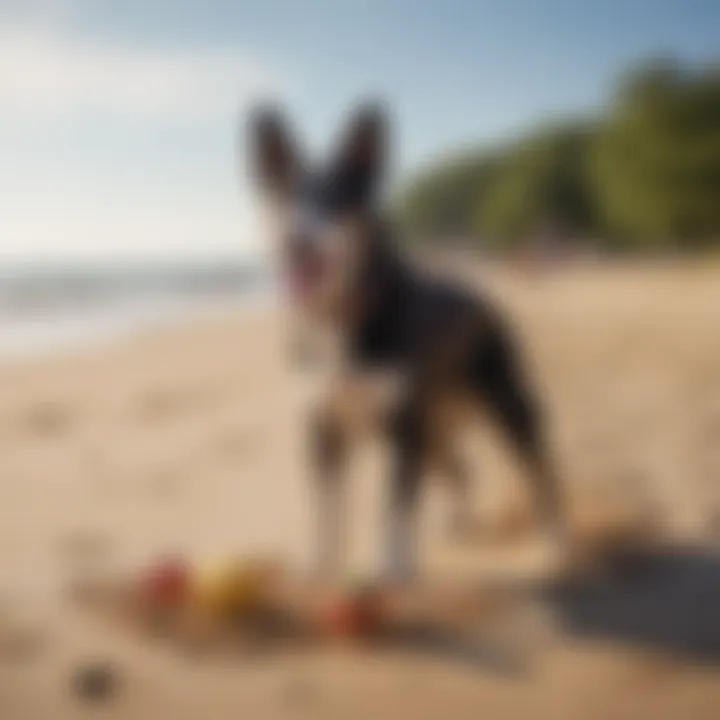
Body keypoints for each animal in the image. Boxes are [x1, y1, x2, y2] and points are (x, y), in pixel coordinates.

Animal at [245, 101, 564, 584]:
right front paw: (320, 564)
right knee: (461, 469)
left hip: (504, 403)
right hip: (435, 427)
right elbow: (325, 510)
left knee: (540, 469)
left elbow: (394, 507)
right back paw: (458, 522)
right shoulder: (319, 427)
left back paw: (558, 536)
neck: (342, 317)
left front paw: (392, 568)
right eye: (283, 197)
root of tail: (481, 295)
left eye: (338, 199)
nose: (294, 242)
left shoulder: (402, 427)